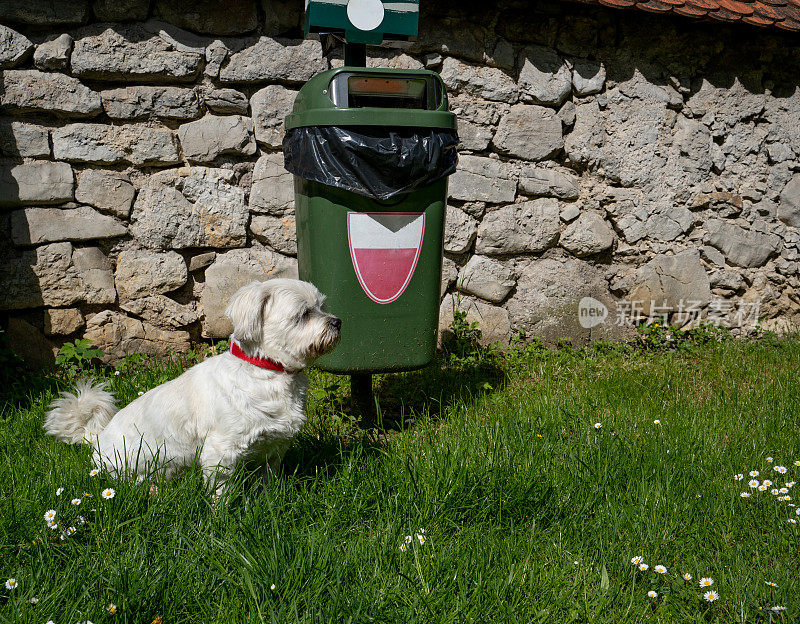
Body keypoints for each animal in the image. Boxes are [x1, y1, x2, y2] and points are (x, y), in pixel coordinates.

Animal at [44, 280, 340, 490]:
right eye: (304, 314)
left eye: (322, 307)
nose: (337, 321)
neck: (267, 372)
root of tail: (96, 439)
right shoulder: (221, 451)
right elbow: (221, 493)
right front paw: (222, 519)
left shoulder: (275, 446)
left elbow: (269, 478)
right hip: (127, 465)